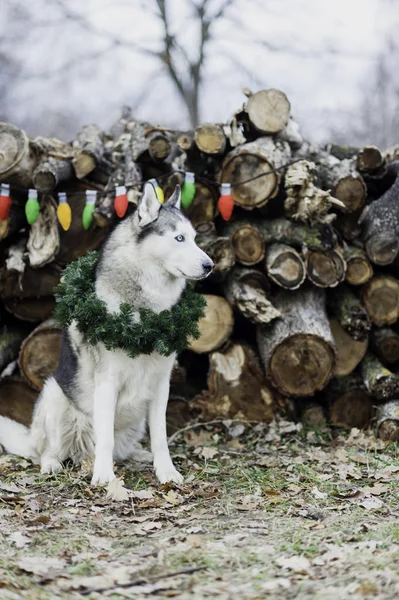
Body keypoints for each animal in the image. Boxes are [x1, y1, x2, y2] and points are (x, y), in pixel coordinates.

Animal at [0, 185, 212, 486]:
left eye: (193, 238)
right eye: (179, 238)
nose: (210, 265)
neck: (145, 315)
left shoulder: (161, 384)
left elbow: (160, 437)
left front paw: (166, 471)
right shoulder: (107, 383)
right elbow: (106, 439)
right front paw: (103, 476)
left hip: (136, 419)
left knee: (125, 446)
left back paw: (138, 455)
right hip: (54, 395)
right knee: (49, 449)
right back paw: (52, 463)